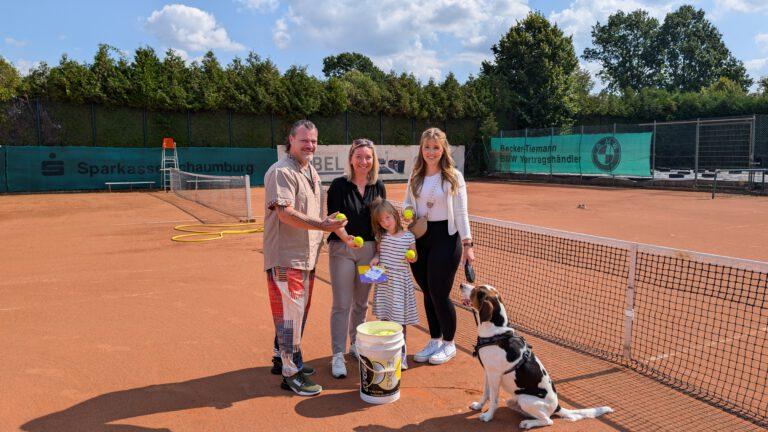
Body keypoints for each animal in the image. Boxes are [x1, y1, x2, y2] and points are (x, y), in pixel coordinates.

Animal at [460, 284, 616, 428]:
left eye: (476, 291)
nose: (461, 284)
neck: (496, 332)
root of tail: (557, 407)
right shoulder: (488, 372)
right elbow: (485, 394)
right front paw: (479, 406)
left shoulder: (494, 376)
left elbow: (493, 399)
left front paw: (488, 416)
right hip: (515, 399)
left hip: (525, 399)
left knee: (548, 420)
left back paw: (528, 423)